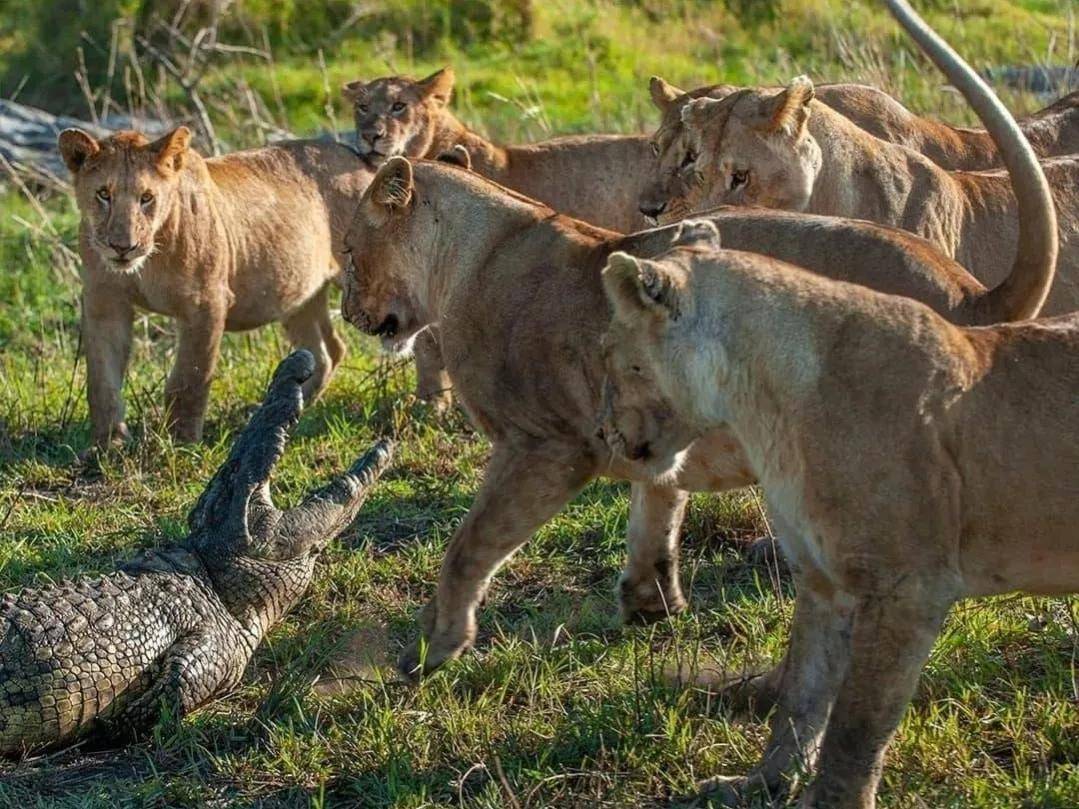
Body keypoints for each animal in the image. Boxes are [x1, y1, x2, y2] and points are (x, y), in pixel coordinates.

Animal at [60, 126, 379, 450]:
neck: (146, 263)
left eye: (146, 198)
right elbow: (102, 382)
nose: (122, 247)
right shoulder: (104, 304)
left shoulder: (205, 303)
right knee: (328, 350)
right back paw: (292, 410)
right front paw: (108, 445)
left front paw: (181, 444)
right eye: (104, 194)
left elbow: (189, 379)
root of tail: (360, 160)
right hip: (299, 294)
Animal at [599, 216, 1079, 809]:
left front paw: (831, 800)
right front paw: (762, 782)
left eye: (608, 352)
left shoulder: (908, 589)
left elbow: (857, 724)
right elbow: (802, 695)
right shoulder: (824, 580)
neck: (758, 403)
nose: (603, 430)